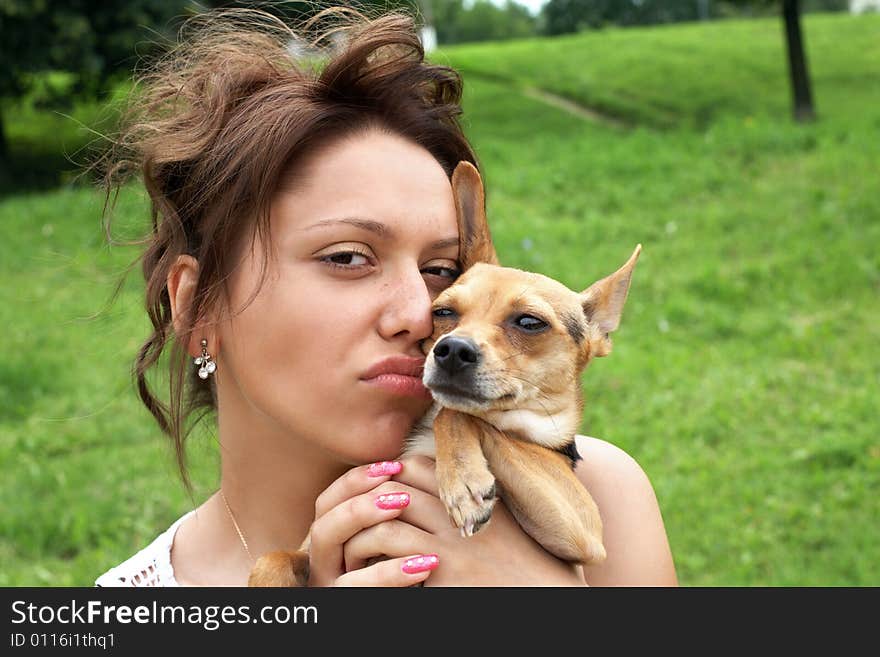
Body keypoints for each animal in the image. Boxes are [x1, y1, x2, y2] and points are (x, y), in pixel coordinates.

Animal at [248, 163, 640, 584]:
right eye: (443, 311)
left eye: (530, 322)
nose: (452, 350)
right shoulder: (309, 544)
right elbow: (270, 560)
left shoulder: (580, 528)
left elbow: (457, 414)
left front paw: (464, 482)